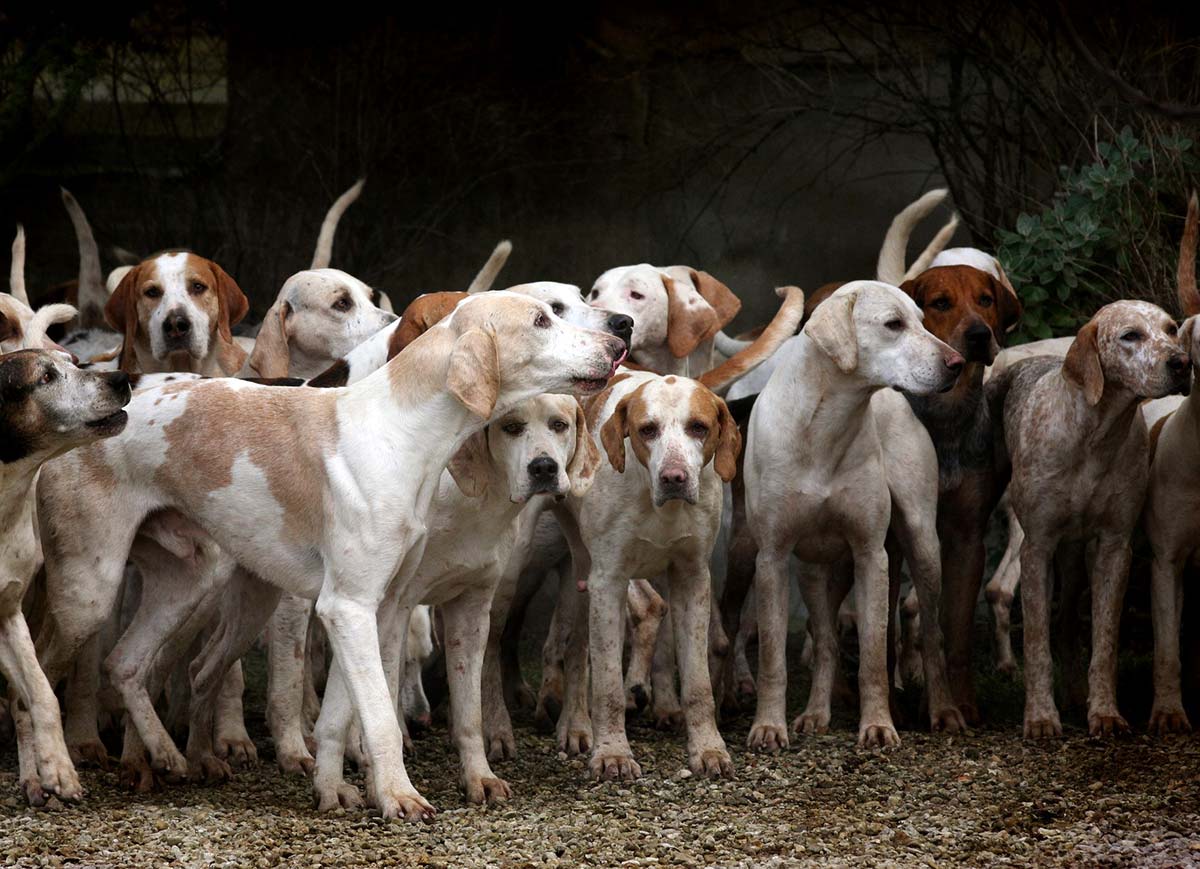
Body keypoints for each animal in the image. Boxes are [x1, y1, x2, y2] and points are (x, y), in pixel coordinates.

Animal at [993, 302, 1190, 734]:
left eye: (1171, 330)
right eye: (1130, 335)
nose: (1183, 363)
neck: (1095, 435)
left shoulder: (1115, 548)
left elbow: (1105, 643)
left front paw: (1104, 712)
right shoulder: (1037, 548)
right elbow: (1036, 643)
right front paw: (1040, 717)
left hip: (1077, 563)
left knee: (1067, 625)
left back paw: (1072, 693)